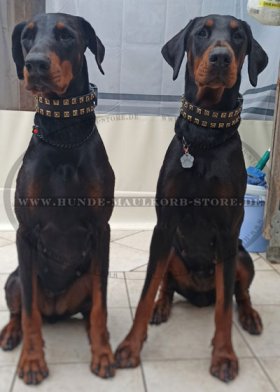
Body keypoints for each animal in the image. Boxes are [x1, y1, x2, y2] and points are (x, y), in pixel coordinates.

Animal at [0, 13, 115, 384]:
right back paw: (11, 333)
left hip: (84, 278)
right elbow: (29, 313)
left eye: (66, 36)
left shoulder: (101, 229)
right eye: (26, 37)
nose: (35, 64)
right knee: (23, 310)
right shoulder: (26, 232)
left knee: (90, 307)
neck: (64, 135)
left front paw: (103, 353)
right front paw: (32, 361)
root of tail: (56, 310)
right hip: (15, 278)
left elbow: (101, 304)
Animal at [115, 16, 266, 382]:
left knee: (238, 292)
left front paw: (224, 355)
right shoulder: (164, 226)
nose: (221, 58)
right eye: (202, 33)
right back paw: (161, 307)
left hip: (241, 255)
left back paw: (250, 316)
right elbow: (146, 291)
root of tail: (199, 295)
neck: (205, 135)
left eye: (239, 36)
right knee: (166, 285)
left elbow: (225, 306)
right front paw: (130, 346)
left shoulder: (227, 231)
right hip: (172, 251)